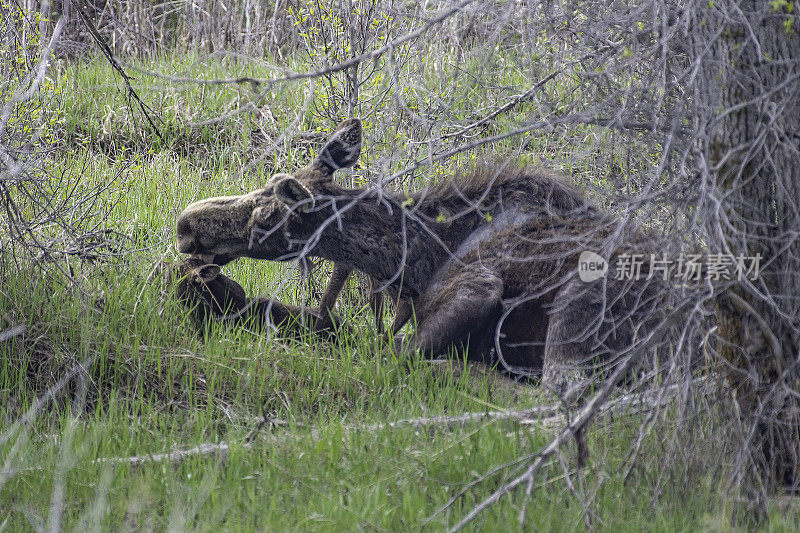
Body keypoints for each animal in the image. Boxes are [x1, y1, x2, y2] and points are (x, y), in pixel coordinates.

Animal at [177, 120, 668, 394]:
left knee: (557, 396)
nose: (185, 225)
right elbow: (327, 323)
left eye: (267, 214)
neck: (417, 260)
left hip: (580, 303)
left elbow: (388, 351)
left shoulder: (478, 285)